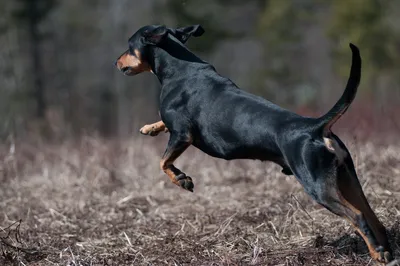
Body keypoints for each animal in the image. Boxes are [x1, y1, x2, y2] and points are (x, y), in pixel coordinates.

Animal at [115, 25, 394, 264]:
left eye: (129, 46)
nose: (116, 62)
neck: (179, 68)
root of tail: (316, 127)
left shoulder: (182, 135)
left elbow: (163, 161)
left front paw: (182, 179)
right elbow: (162, 130)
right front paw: (150, 128)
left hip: (319, 186)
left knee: (357, 216)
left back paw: (377, 254)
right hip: (347, 179)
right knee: (372, 217)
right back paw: (385, 251)